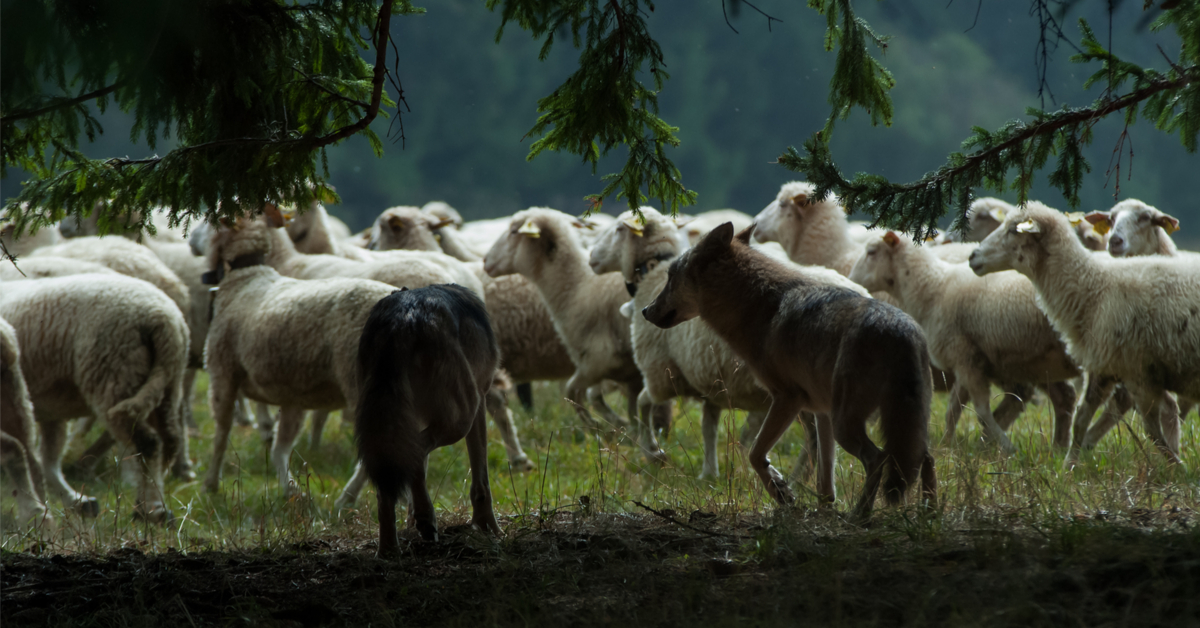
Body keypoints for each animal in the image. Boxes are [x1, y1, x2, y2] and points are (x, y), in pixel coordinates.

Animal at [0, 272, 187, 523]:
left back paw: (151, 509)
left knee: (147, 443)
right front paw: (72, 501)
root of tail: (164, 320)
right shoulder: (48, 409)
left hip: (114, 376)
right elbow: (47, 457)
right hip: (166, 385)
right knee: (169, 441)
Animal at [969, 204, 1195, 463]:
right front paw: (1070, 462)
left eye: (1014, 230)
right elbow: (1084, 416)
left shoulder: (1132, 368)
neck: (1093, 285)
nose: (972, 256)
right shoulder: (1112, 367)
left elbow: (1149, 424)